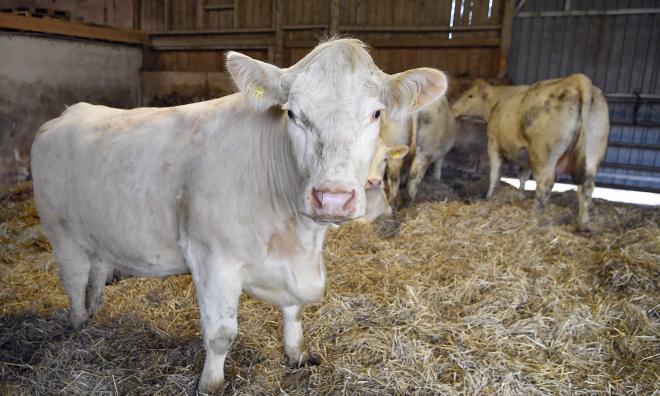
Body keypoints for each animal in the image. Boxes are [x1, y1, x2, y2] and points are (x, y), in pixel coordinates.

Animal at [28, 38, 446, 392]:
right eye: (293, 114)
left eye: (376, 113)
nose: (332, 197)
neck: (299, 239)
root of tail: (69, 112)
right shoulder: (213, 257)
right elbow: (221, 333)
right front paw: (211, 384)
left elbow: (294, 311)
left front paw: (296, 354)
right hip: (60, 231)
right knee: (74, 280)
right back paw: (80, 325)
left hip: (97, 232)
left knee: (97, 270)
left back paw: (97, 310)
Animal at [454, 73, 608, 232]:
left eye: (470, 95)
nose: (453, 109)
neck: (497, 101)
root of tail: (577, 79)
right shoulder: (527, 157)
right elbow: (523, 177)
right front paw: (520, 196)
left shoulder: (493, 145)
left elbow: (495, 175)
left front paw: (489, 197)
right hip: (592, 154)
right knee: (587, 187)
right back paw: (583, 223)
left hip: (544, 154)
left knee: (545, 184)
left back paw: (535, 215)